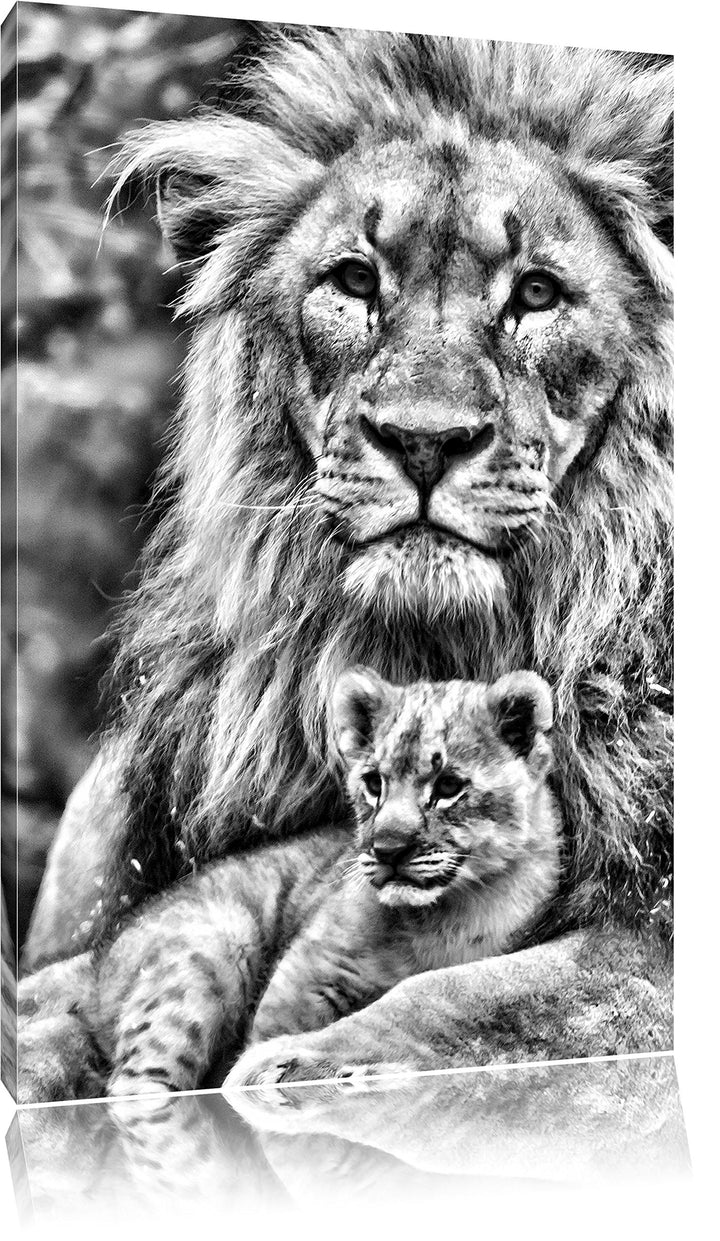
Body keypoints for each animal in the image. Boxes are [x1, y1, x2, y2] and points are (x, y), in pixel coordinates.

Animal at [19, 29, 672, 1097]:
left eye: (536, 293)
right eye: (356, 281)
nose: (424, 439)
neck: (427, 649)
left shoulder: (649, 936)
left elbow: (478, 997)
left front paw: (296, 1064)